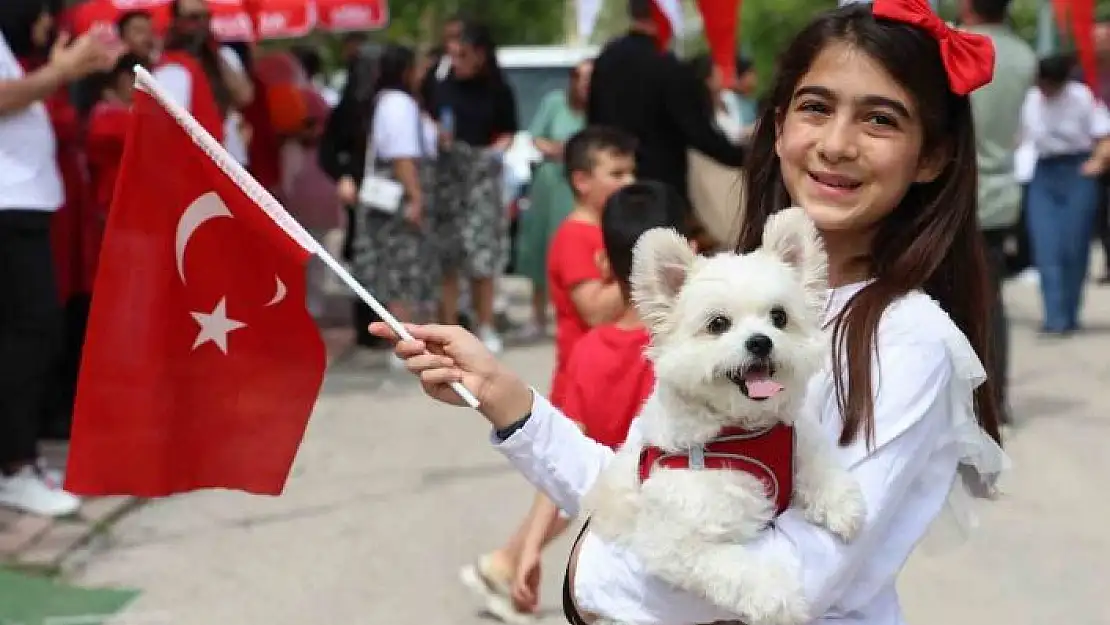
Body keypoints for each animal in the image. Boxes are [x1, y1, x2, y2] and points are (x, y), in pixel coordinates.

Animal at [581, 208, 865, 625]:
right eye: (718, 324)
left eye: (779, 317)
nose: (760, 341)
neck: (740, 430)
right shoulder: (675, 541)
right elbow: (736, 568)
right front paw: (780, 600)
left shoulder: (794, 437)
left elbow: (816, 460)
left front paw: (840, 502)